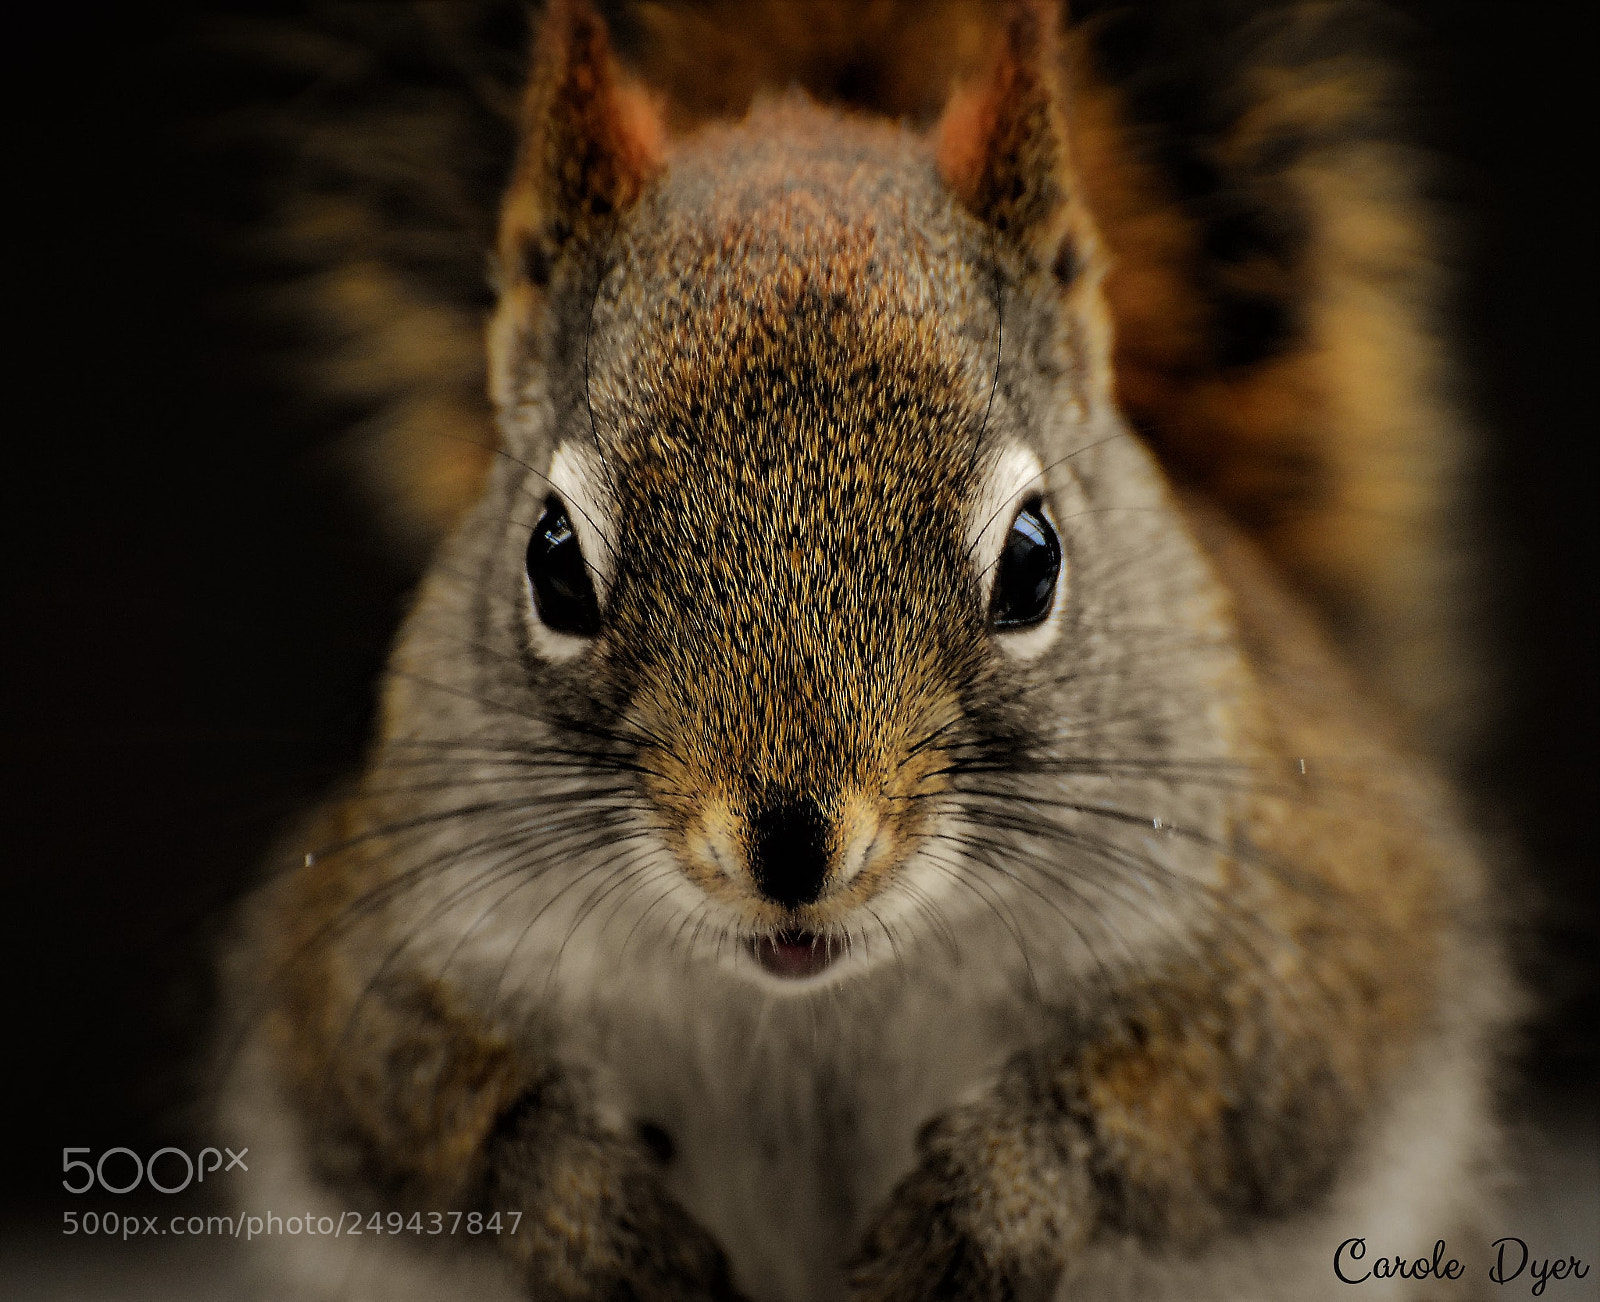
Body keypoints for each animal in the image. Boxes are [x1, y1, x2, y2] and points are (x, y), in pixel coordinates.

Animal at [218, 1, 1511, 1299]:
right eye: (552, 564)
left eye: (1034, 560)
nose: (790, 846)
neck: (818, 1003)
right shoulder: (382, 960)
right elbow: (436, 1115)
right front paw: (593, 1217)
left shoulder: (1270, 948)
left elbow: (1188, 1109)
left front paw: (993, 1201)